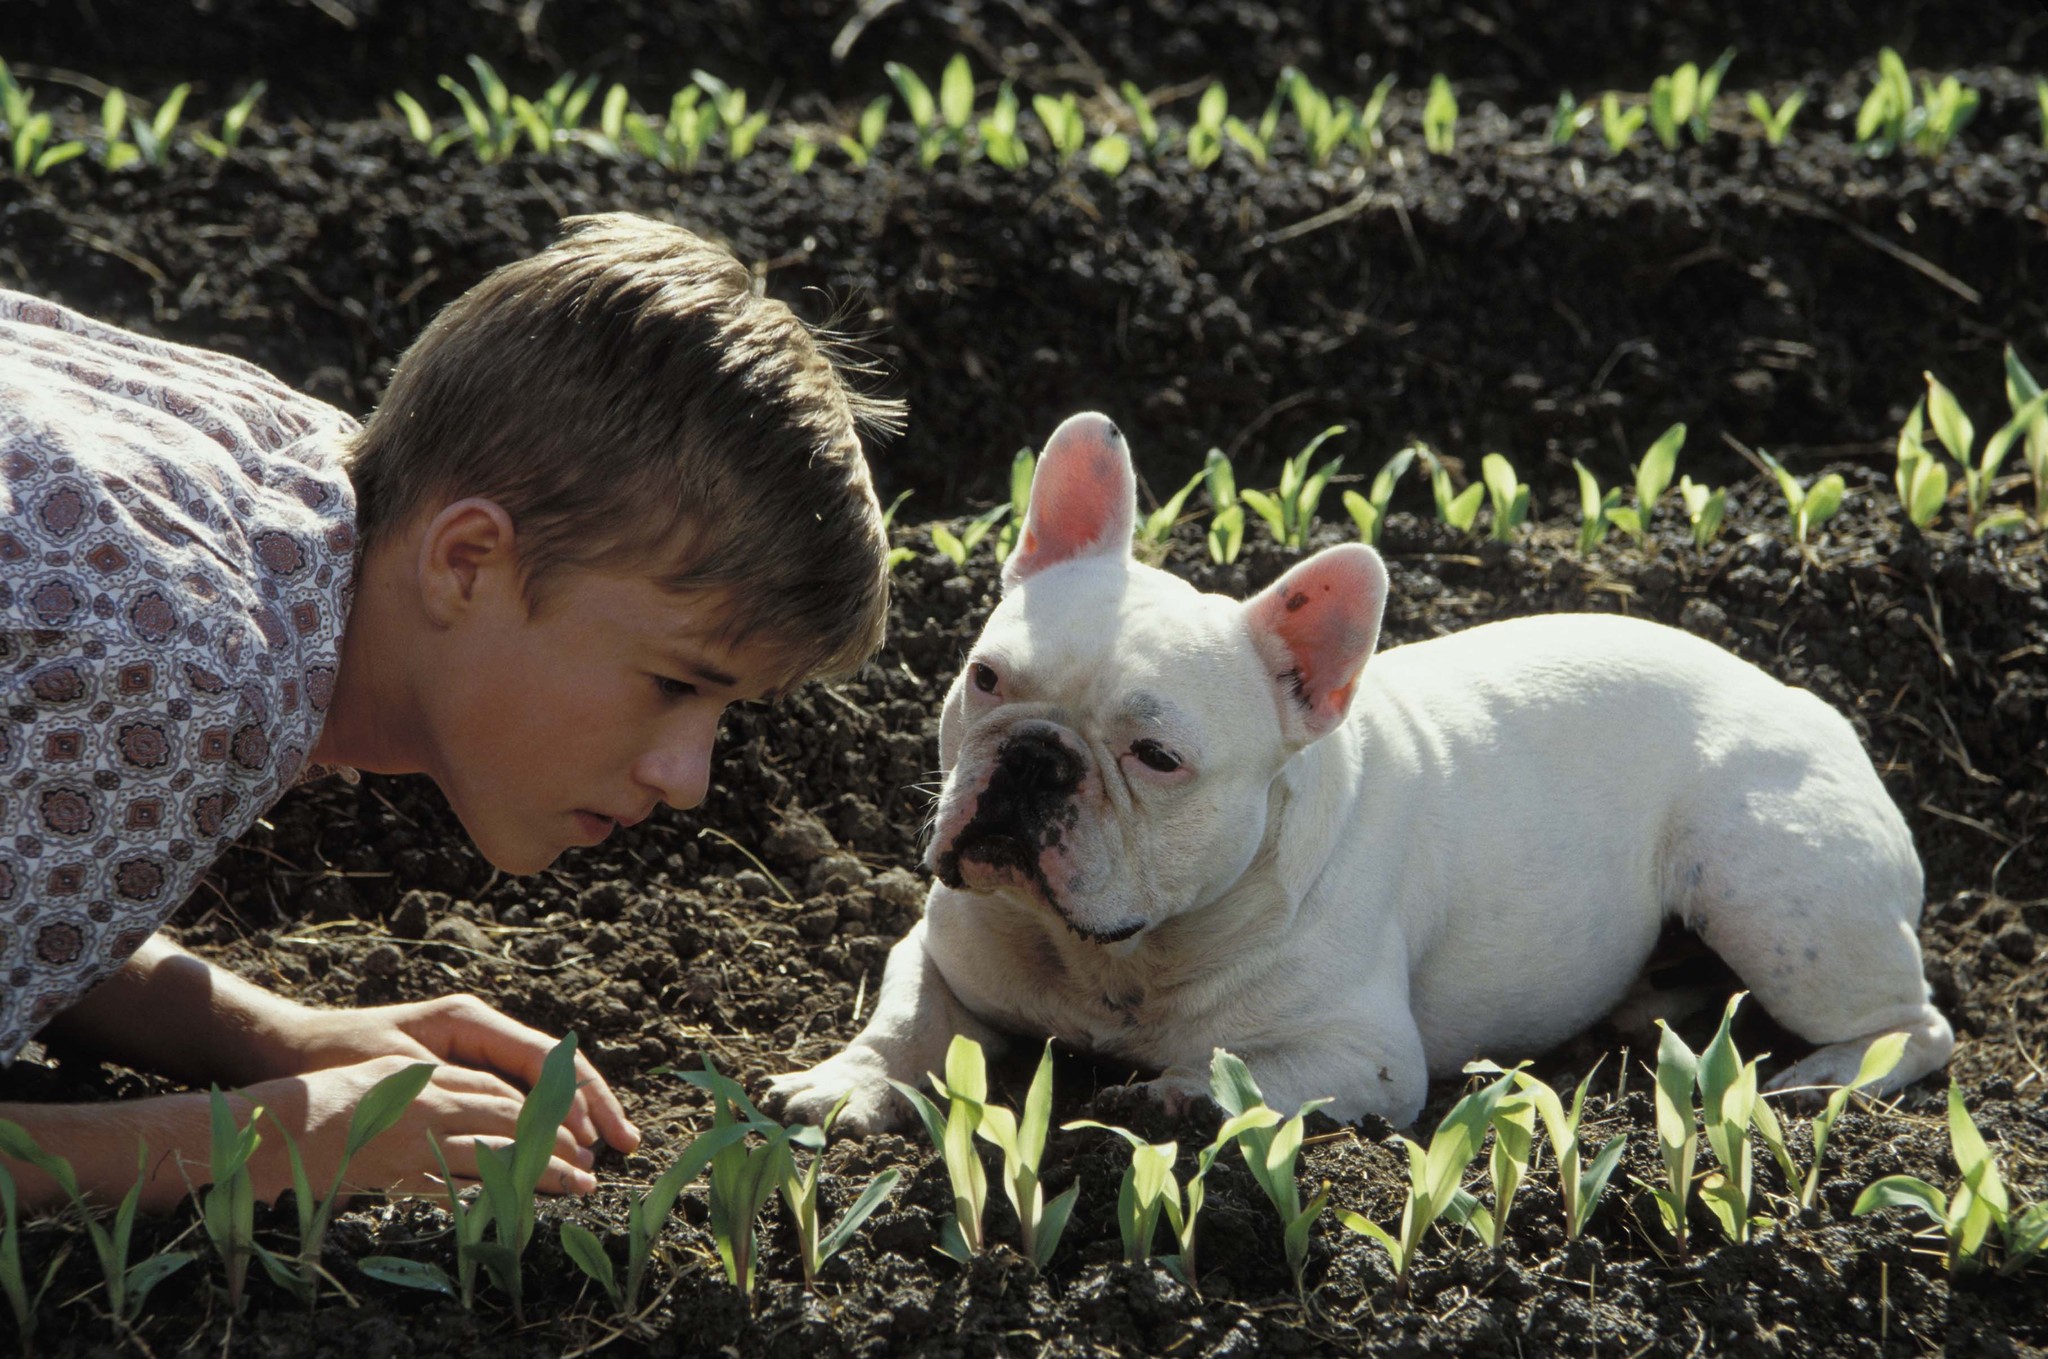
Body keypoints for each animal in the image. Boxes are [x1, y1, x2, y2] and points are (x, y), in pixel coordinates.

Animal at [770, 411, 1949, 1121]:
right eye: (985, 680)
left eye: (1156, 758)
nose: (1034, 757)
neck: (1124, 953)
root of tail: (1804, 700)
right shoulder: (939, 951)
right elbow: (906, 1020)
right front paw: (842, 1084)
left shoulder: (1364, 1057)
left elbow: (1243, 1075)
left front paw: (1171, 1091)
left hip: (1767, 890)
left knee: (1916, 1024)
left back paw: (1823, 1078)